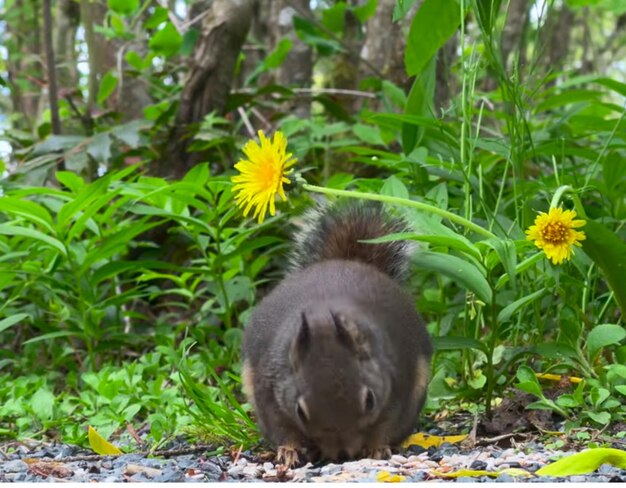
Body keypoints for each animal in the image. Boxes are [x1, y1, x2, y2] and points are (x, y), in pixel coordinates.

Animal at [241, 200, 432, 468]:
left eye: (370, 400)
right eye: (300, 410)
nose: (342, 454)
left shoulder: (397, 384)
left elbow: (385, 424)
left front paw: (376, 448)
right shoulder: (268, 392)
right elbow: (283, 429)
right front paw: (289, 451)